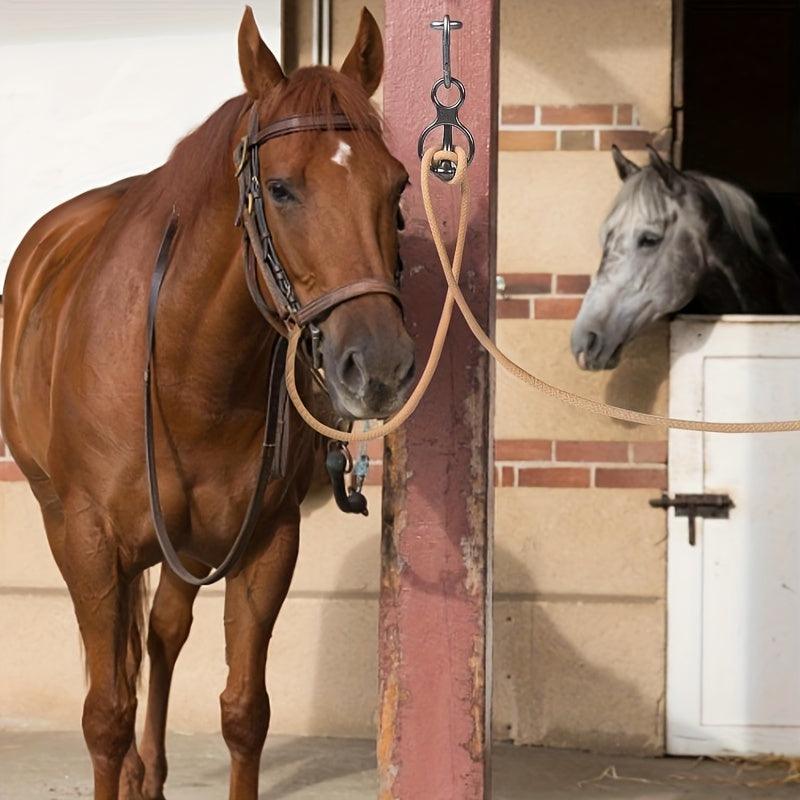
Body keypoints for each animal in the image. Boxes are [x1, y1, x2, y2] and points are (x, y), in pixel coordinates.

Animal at [0, 7, 412, 800]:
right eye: (280, 189)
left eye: (399, 186)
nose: (378, 365)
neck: (190, 377)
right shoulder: (88, 540)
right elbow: (104, 713)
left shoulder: (266, 541)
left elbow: (244, 711)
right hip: (68, 521)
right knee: (125, 658)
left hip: (189, 545)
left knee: (159, 634)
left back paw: (151, 771)